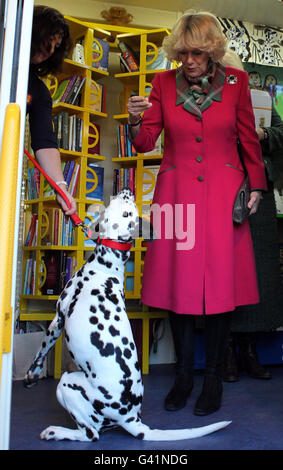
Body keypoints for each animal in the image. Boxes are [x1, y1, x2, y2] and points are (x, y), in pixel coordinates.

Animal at [24, 189, 232, 442]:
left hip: (67, 383)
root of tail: (132, 419)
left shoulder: (58, 318)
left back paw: (56, 431)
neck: (106, 266)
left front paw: (31, 376)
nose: (127, 191)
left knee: (90, 434)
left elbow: (40, 352)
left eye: (128, 209)